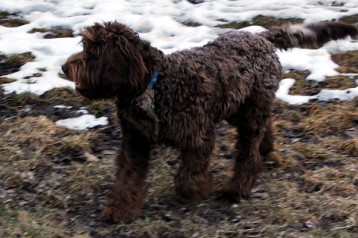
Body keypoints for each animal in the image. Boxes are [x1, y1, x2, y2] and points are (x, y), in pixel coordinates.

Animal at [62, 20, 358, 223]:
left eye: (93, 53)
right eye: (84, 47)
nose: (64, 67)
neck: (153, 85)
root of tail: (260, 37)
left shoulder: (198, 135)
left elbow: (187, 177)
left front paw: (200, 190)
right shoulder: (134, 141)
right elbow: (127, 179)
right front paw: (120, 209)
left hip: (250, 111)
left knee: (248, 151)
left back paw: (237, 187)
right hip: (238, 107)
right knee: (265, 129)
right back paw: (266, 149)